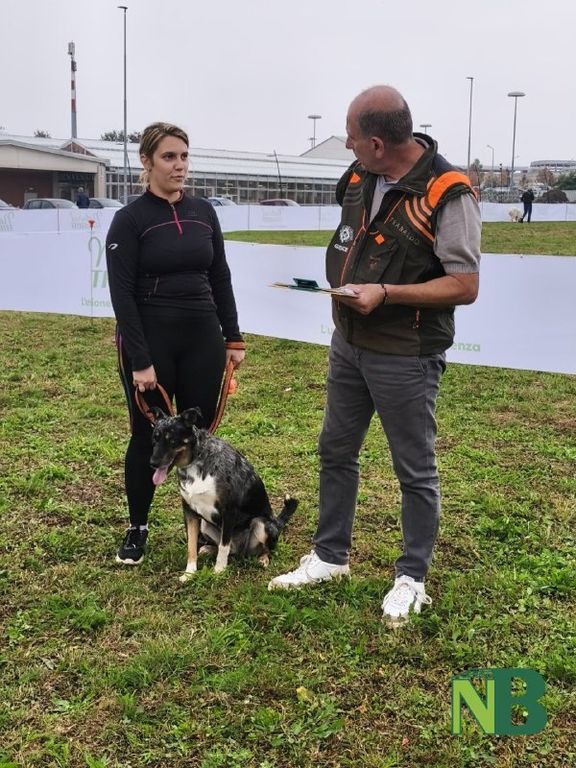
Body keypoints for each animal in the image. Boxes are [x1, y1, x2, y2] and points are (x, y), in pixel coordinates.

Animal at [149, 406, 298, 581]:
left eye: (172, 440)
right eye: (155, 438)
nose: (152, 463)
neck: (195, 463)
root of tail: (277, 523)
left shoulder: (228, 511)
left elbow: (223, 546)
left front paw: (219, 571)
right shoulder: (190, 512)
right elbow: (191, 546)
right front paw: (189, 573)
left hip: (261, 524)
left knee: (264, 548)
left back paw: (263, 558)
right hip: (205, 524)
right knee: (228, 548)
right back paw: (208, 549)